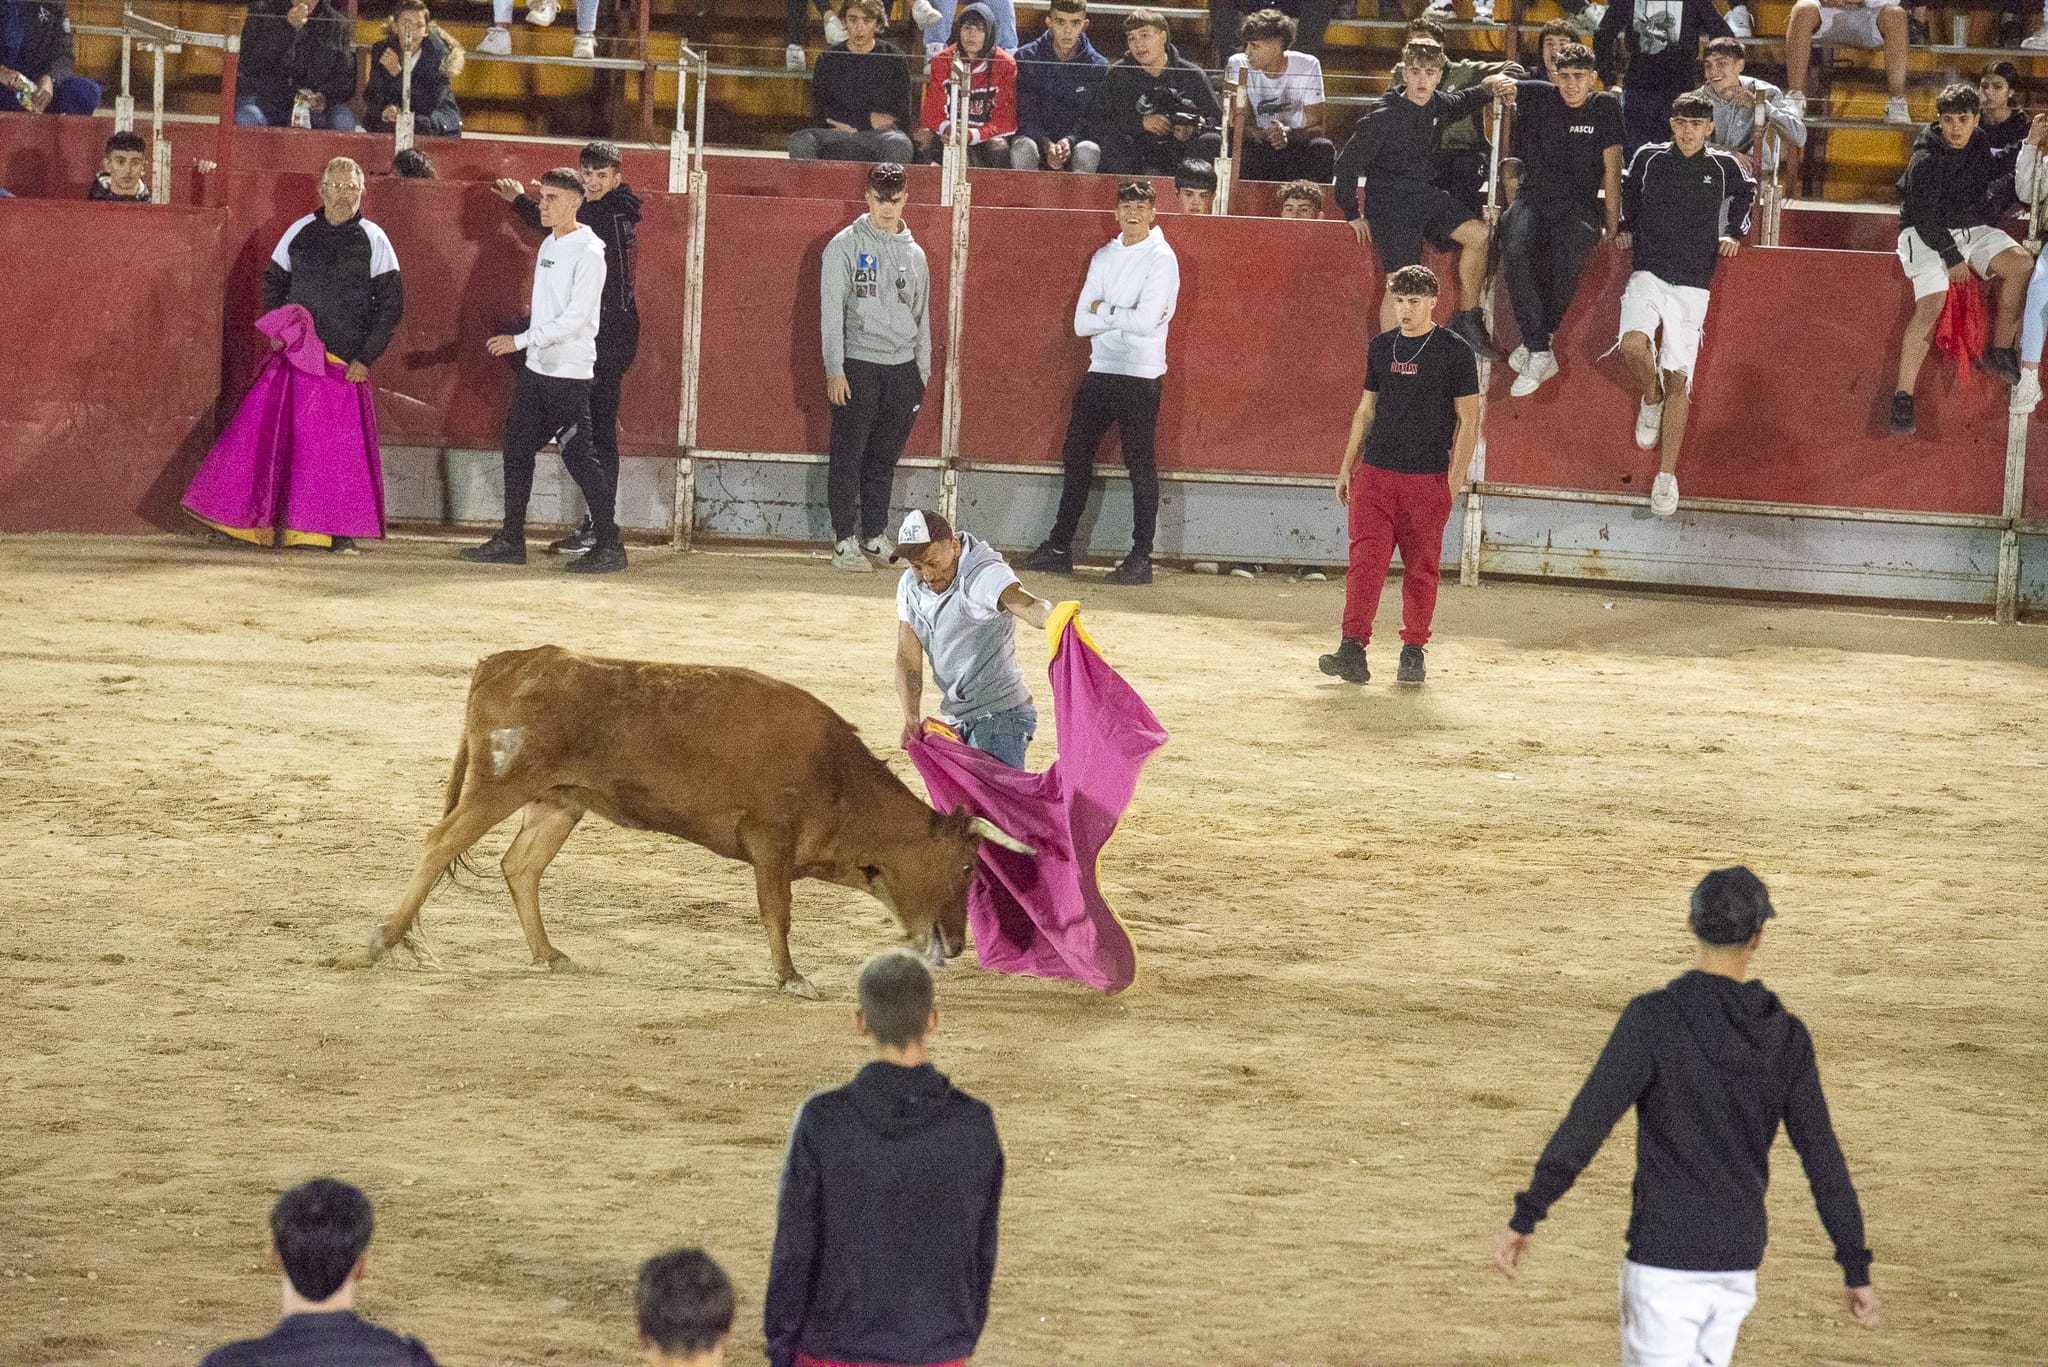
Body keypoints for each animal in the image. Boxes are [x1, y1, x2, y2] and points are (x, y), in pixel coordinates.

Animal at [367, 646, 1033, 998]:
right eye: (968, 867)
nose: (958, 944)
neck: (836, 776)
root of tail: (503, 662)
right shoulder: (771, 838)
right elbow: (777, 910)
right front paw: (791, 978)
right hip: (500, 785)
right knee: (441, 842)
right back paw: (386, 938)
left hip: (559, 800)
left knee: (519, 866)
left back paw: (549, 954)